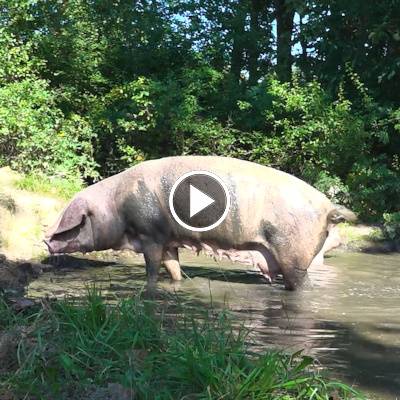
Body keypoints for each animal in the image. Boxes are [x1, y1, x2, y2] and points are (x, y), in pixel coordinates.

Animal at [44, 155, 356, 290]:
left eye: (73, 226)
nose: (45, 240)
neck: (116, 208)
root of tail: (328, 207)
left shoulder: (150, 234)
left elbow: (152, 268)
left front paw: (148, 286)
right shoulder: (168, 239)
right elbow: (173, 267)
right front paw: (180, 282)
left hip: (294, 254)